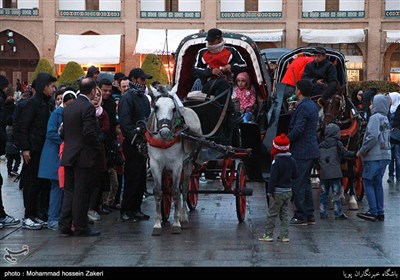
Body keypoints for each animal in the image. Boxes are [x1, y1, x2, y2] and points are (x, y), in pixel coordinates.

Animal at [146, 86, 203, 236]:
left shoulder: (177, 165)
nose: (165, 132)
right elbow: (159, 192)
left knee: (185, 188)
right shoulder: (154, 165)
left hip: (188, 163)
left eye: (173, 109)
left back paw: (184, 217)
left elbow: (176, 192)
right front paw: (157, 224)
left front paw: (177, 223)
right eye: (156, 107)